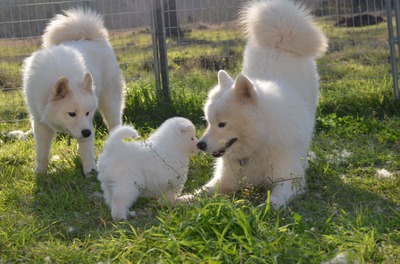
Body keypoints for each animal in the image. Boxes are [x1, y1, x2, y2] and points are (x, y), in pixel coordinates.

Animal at [22, 8, 125, 175]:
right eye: (72, 114)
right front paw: (40, 174)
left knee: (115, 125)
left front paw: (90, 172)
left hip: (110, 103)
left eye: (87, 112)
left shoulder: (87, 124)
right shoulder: (40, 123)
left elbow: (87, 151)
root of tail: (92, 37)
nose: (87, 132)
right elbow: (41, 153)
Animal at [180, 0, 326, 206]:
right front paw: (178, 199)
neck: (260, 142)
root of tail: (279, 41)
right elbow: (200, 192)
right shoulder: (225, 179)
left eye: (222, 124)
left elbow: (276, 199)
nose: (200, 145)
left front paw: (265, 207)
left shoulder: (289, 179)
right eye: (208, 122)